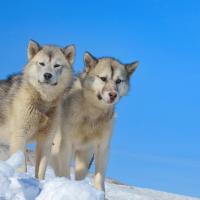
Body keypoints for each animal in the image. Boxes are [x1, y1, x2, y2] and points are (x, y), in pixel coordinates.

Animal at [0, 39, 75, 179]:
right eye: (42, 63)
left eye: (57, 65)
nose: (47, 75)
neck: (43, 103)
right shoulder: (20, 137)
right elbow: (22, 167)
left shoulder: (46, 141)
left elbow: (40, 171)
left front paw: (39, 182)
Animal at [51, 51, 138, 192]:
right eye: (103, 78)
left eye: (118, 81)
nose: (113, 95)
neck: (92, 113)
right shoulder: (65, 145)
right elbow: (64, 172)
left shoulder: (101, 148)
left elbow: (99, 177)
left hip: (84, 157)